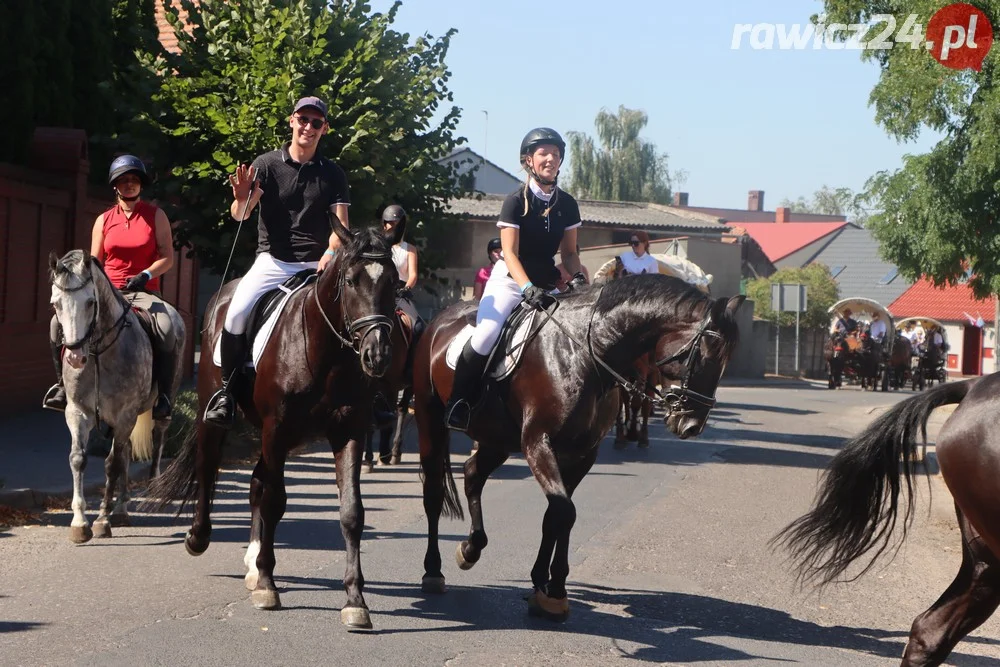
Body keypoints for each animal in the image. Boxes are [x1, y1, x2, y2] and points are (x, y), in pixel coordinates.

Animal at [48, 250, 187, 544]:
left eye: (91, 302)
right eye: (56, 304)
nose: (75, 357)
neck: (99, 353)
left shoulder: (125, 414)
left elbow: (111, 464)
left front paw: (102, 520)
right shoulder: (78, 412)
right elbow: (79, 458)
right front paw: (80, 523)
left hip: (156, 406)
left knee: (157, 438)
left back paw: (151, 487)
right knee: (126, 453)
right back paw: (122, 510)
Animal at [146, 220, 402, 632]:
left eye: (394, 281)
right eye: (350, 281)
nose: (377, 354)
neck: (323, 351)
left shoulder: (347, 433)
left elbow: (351, 512)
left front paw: (355, 601)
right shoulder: (276, 430)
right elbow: (275, 501)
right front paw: (268, 585)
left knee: (255, 482)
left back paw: (252, 562)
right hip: (217, 417)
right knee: (209, 467)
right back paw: (199, 538)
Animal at [412, 276, 744, 620]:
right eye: (704, 354)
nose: (692, 425)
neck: (586, 353)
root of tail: (440, 318)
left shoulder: (583, 453)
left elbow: (558, 515)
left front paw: (549, 588)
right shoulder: (538, 442)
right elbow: (564, 512)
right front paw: (549, 588)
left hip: (497, 438)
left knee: (473, 474)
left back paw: (471, 548)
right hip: (430, 419)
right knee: (434, 493)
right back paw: (433, 571)